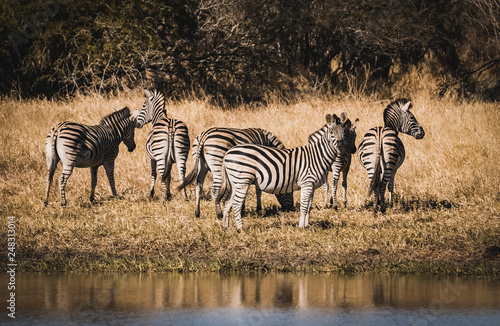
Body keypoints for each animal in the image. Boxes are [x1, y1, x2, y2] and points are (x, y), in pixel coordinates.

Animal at [217, 113, 354, 230]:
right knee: (236, 204)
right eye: (331, 132)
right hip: (242, 180)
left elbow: (309, 206)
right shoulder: (307, 182)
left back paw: (226, 227)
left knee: (227, 202)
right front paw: (301, 226)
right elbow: (304, 206)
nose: (341, 149)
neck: (318, 156)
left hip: (234, 182)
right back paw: (240, 229)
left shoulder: (312, 185)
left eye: (344, 133)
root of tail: (228, 153)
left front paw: (307, 224)